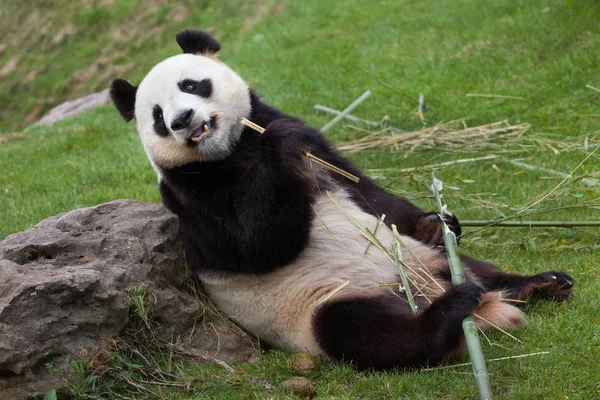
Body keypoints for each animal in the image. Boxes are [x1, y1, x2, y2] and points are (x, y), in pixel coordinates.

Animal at [110, 29, 576, 370]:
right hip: (320, 304)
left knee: (468, 265)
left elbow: (365, 191)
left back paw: (537, 283)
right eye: (156, 116)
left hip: (417, 258)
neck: (232, 149)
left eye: (192, 84)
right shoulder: (190, 193)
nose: (182, 120)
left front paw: (433, 220)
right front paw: (279, 147)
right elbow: (253, 245)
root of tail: (420, 290)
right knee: (366, 332)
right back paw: (448, 314)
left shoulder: (309, 142)